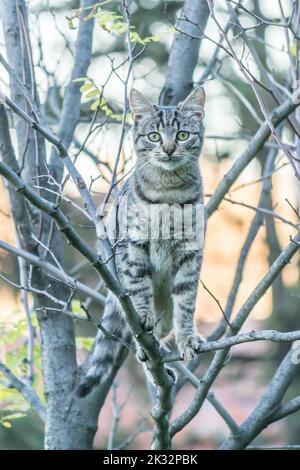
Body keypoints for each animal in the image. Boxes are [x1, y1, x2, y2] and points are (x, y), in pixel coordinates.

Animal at [76, 85, 205, 396]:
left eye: (183, 135)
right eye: (154, 136)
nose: (169, 149)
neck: (169, 193)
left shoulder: (190, 252)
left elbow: (187, 303)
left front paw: (187, 338)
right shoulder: (132, 247)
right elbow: (139, 286)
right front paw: (144, 313)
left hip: (166, 314)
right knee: (138, 336)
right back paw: (149, 353)